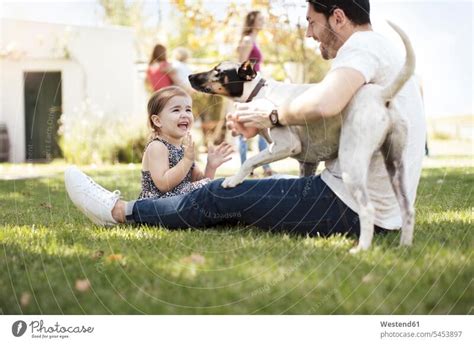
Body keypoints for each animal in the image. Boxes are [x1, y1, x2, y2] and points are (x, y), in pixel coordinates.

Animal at [188, 21, 414, 253]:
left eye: (218, 72)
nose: (189, 77)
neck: (258, 92)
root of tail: (380, 95)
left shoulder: (286, 145)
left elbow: (249, 160)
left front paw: (233, 180)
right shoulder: (308, 162)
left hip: (352, 165)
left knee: (368, 210)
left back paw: (361, 249)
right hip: (395, 166)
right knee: (408, 209)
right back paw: (405, 246)